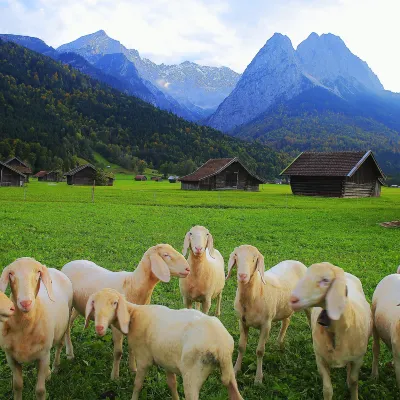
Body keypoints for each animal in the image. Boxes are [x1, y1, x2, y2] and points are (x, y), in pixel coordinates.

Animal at [0, 258, 73, 398]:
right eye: (11, 273)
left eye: (38, 272)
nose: (25, 303)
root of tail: (53, 269)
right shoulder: (11, 357)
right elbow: (17, 386)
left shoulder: (43, 356)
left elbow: (40, 390)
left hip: (66, 322)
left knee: (60, 344)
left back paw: (55, 367)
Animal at [61, 242, 191, 380]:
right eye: (166, 255)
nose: (188, 269)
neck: (132, 284)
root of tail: (69, 263)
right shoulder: (116, 326)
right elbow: (118, 352)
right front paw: (115, 377)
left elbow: (132, 349)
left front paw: (133, 369)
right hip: (69, 305)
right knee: (67, 327)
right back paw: (70, 353)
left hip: (78, 306)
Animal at [86, 288, 245, 400]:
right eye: (94, 304)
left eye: (114, 303)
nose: (99, 328)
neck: (134, 316)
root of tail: (221, 346)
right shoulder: (167, 361)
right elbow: (172, 384)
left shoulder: (143, 359)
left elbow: (137, 385)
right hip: (229, 370)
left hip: (192, 373)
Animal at [225, 244, 310, 384]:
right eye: (236, 256)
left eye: (255, 258)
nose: (242, 276)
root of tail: (297, 262)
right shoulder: (242, 322)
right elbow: (241, 347)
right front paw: (236, 370)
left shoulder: (266, 324)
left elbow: (260, 351)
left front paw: (258, 379)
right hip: (285, 306)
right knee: (286, 321)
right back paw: (279, 343)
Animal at [290, 262, 374, 400]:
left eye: (325, 280)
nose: (292, 299)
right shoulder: (320, 359)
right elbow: (328, 389)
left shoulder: (358, 359)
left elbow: (354, 381)